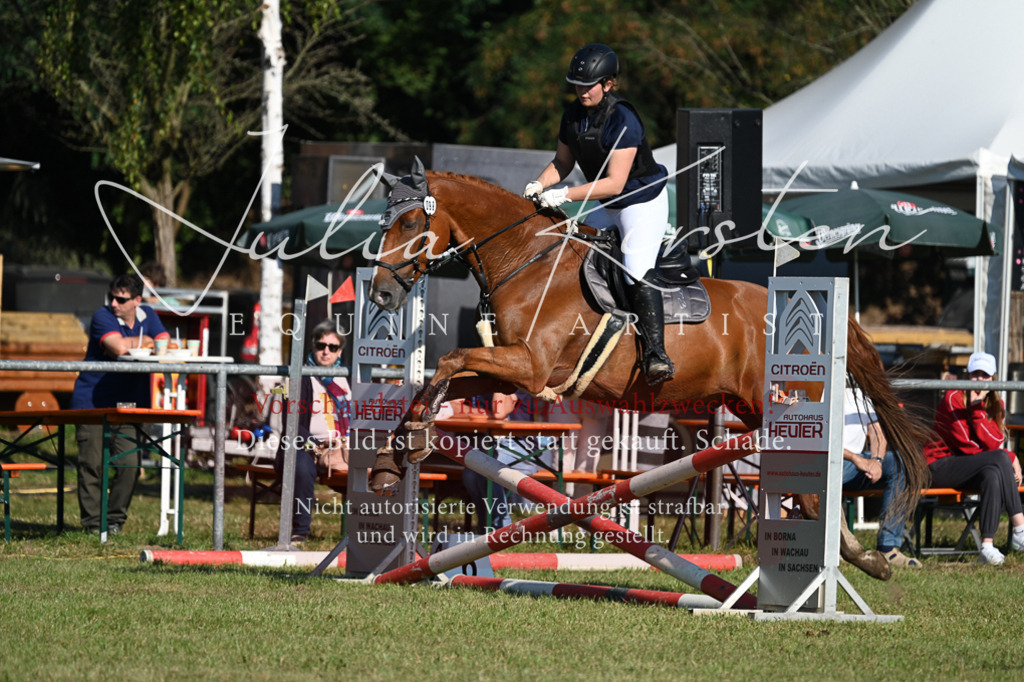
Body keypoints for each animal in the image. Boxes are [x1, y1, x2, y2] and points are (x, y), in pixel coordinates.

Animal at [366, 160, 931, 579]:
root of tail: (808, 313)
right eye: (383, 224)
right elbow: (439, 377)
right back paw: (864, 560)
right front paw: (391, 460)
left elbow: (447, 360)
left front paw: (415, 440)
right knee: (810, 494)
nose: (381, 296)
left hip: (776, 407)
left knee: (812, 487)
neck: (527, 260)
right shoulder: (512, 370)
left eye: (412, 224)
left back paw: (857, 562)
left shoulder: (530, 369)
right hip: (752, 412)